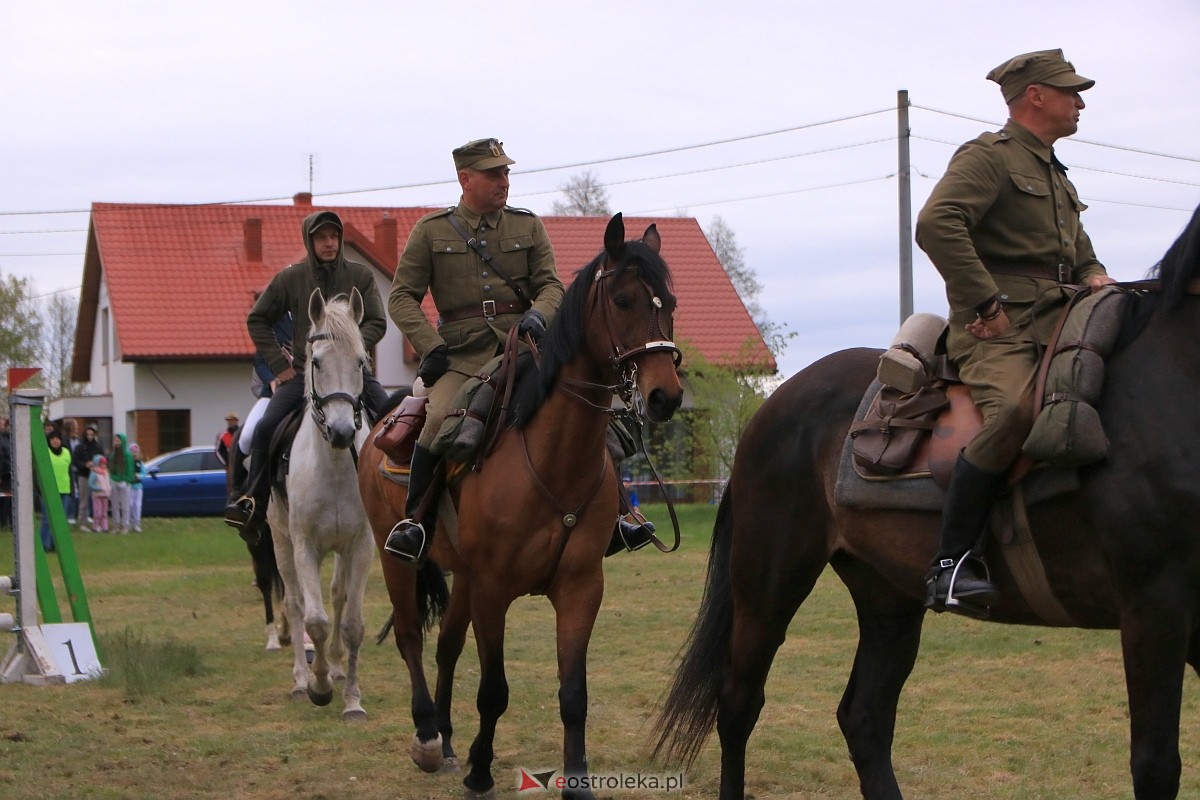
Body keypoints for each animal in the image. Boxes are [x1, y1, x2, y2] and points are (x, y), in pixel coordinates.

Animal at [357, 214, 686, 800]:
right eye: (623, 300)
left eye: (667, 301)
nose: (664, 396)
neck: (551, 459)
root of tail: (381, 425)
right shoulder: (493, 590)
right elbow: (494, 689)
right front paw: (480, 771)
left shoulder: (580, 588)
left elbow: (573, 694)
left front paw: (577, 782)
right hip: (397, 556)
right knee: (410, 638)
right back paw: (426, 736)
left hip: (462, 575)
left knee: (445, 647)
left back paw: (446, 740)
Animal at [657, 206, 1200, 800]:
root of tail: (774, 405)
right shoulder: (1154, 607)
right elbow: (1155, 765)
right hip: (769, 584)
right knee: (738, 703)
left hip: (887, 596)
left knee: (864, 716)